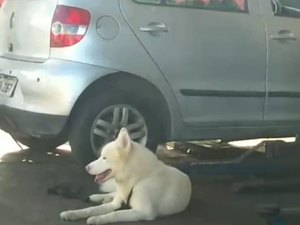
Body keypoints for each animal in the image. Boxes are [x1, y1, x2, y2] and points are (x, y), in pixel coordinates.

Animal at [60, 127, 192, 224]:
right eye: (100, 156)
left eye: (104, 158)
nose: (86, 167)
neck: (137, 179)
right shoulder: (115, 204)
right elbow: (91, 209)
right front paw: (72, 213)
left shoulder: (142, 212)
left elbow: (115, 214)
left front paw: (97, 219)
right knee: (111, 194)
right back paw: (97, 197)